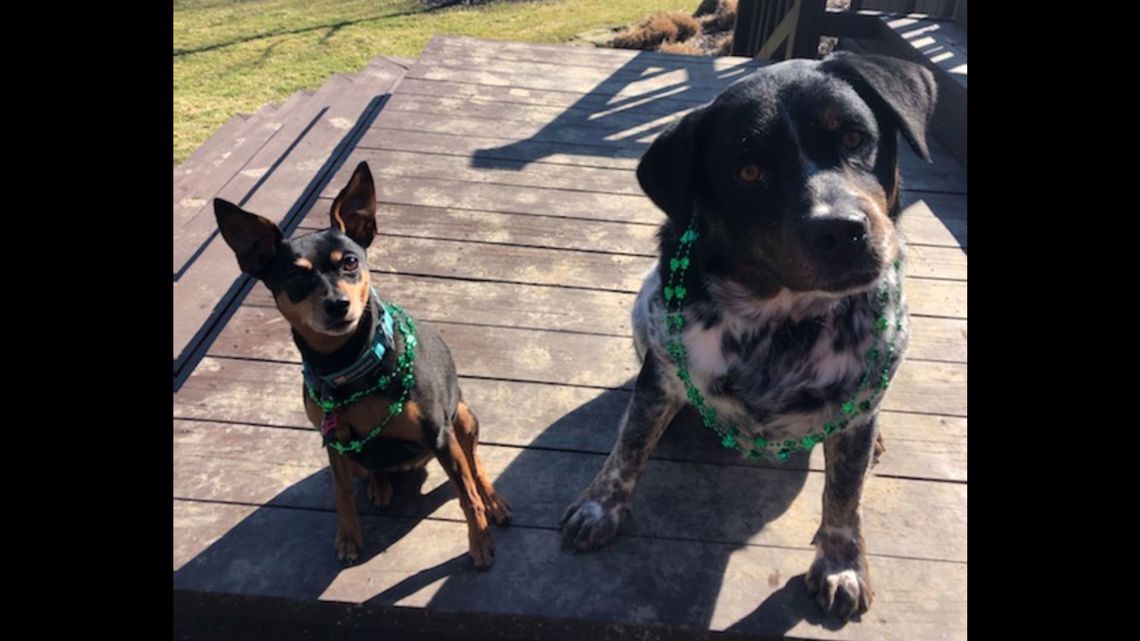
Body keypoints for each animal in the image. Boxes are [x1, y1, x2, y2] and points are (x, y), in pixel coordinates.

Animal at [213, 161, 513, 565]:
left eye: (350, 262)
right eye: (294, 275)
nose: (337, 304)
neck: (347, 364)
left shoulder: (439, 434)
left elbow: (466, 495)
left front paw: (479, 544)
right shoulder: (335, 444)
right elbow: (341, 495)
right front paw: (347, 539)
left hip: (462, 419)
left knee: (474, 464)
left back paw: (493, 501)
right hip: (353, 455)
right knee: (368, 468)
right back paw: (379, 484)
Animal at [558, 52, 934, 620]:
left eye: (853, 138)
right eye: (749, 172)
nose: (841, 229)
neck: (780, 323)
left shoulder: (860, 401)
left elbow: (844, 494)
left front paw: (840, 565)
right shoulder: (661, 372)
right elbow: (630, 444)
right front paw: (600, 508)